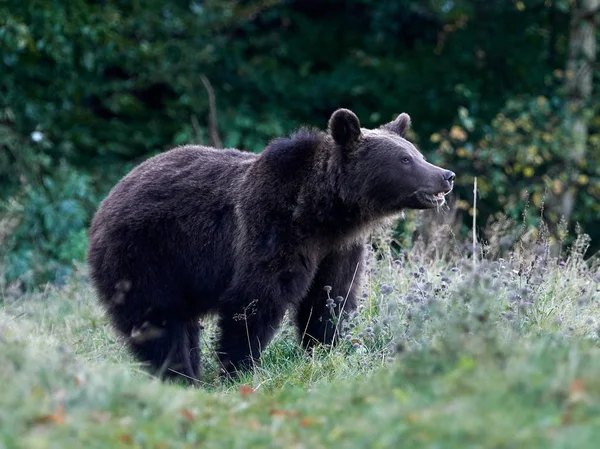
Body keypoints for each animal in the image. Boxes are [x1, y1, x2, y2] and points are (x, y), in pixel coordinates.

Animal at [88, 108, 454, 382]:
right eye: (405, 159)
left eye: (417, 154)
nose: (445, 175)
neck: (324, 213)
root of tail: (110, 197)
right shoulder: (272, 229)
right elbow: (256, 299)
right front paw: (238, 367)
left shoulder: (339, 249)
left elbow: (331, 299)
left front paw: (324, 349)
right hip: (146, 253)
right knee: (157, 319)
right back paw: (179, 375)